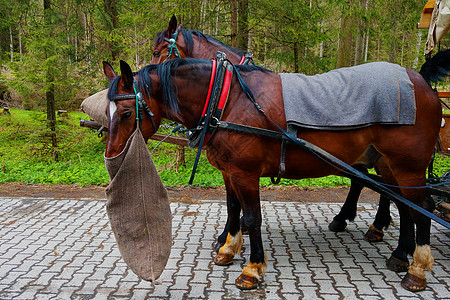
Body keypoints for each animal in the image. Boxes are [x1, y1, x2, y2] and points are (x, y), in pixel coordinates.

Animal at [103, 52, 446, 290]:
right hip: (388, 165)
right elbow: (233, 209)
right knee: (404, 204)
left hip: (408, 166)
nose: (111, 155)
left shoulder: (245, 173)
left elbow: (252, 218)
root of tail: (423, 84)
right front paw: (228, 249)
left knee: (424, 208)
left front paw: (252, 269)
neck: (227, 100)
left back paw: (416, 270)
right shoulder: (230, 171)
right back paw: (400, 254)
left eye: (125, 112)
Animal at [149, 15, 392, 251]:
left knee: (386, 185)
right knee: (366, 182)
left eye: (156, 52)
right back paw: (347, 219)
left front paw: (228, 235)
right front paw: (233, 234)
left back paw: (377, 226)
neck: (228, 92)